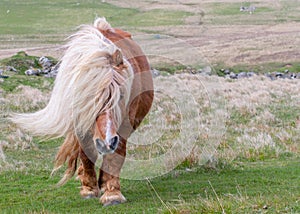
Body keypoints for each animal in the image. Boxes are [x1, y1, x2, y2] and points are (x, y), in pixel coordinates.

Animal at [10, 17, 154, 206]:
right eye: (87, 98)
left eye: (121, 95)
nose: (107, 141)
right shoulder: (80, 125)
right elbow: (87, 154)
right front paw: (89, 189)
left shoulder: (122, 127)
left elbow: (115, 156)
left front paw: (112, 193)